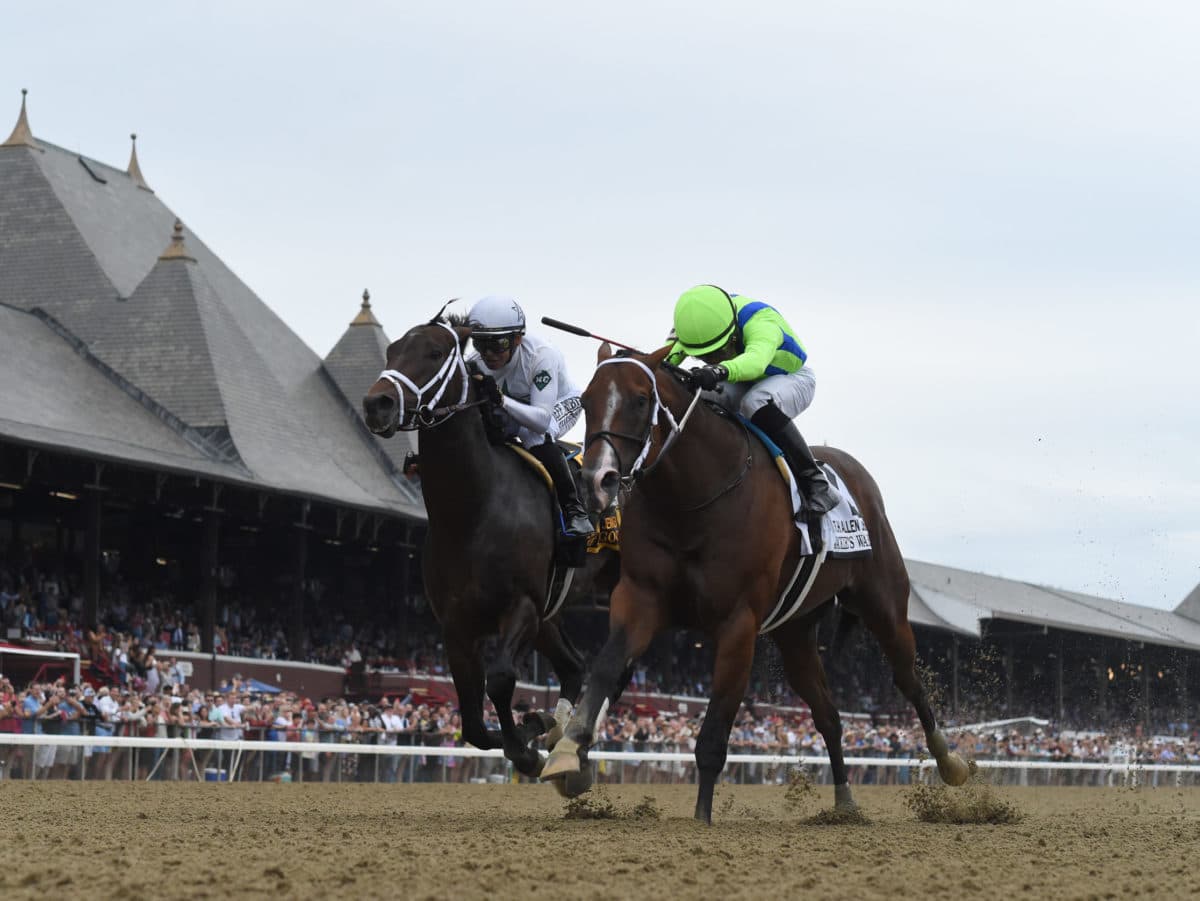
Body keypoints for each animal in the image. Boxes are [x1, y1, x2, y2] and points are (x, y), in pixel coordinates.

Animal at [360, 314, 614, 777]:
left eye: (435, 352)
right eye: (391, 351)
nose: (378, 404)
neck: (473, 510)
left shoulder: (522, 607)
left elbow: (499, 680)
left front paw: (527, 745)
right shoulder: (457, 624)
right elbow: (473, 724)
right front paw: (535, 726)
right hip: (550, 615)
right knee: (574, 666)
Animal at [540, 345, 969, 825]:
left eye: (639, 399)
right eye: (586, 400)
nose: (597, 481)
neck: (692, 498)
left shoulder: (738, 623)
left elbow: (714, 732)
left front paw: (702, 818)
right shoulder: (640, 598)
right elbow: (605, 667)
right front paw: (567, 752)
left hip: (885, 605)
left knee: (908, 679)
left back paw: (950, 762)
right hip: (795, 632)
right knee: (829, 716)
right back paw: (844, 802)